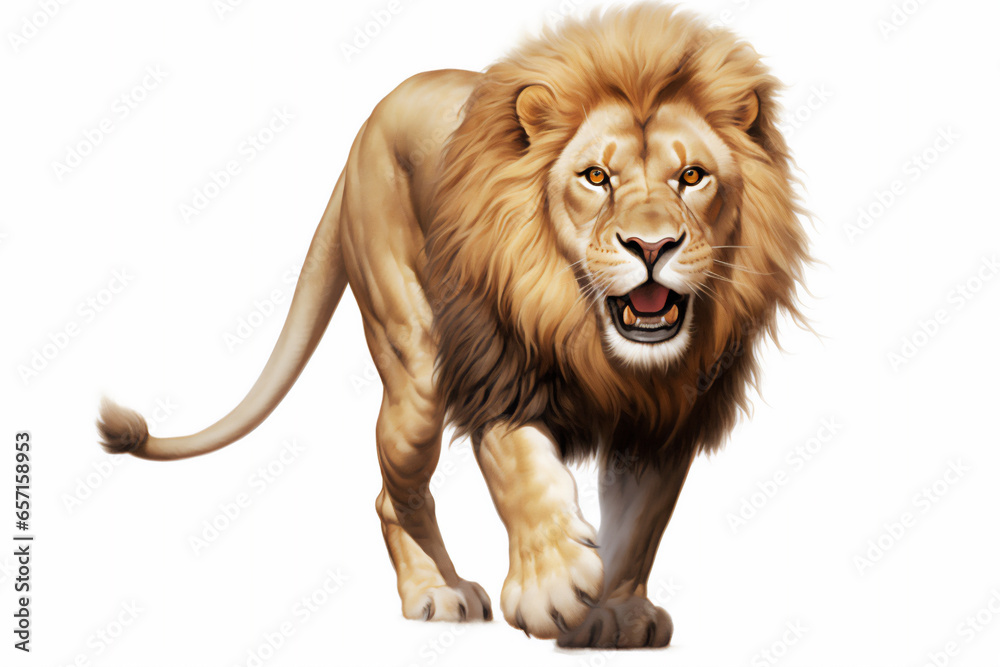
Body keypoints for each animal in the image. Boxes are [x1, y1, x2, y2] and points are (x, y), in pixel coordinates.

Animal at [97, 4, 809, 649]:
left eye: (691, 176)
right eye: (595, 177)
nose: (652, 245)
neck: (597, 344)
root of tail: (366, 128)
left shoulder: (666, 419)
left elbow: (639, 524)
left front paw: (620, 614)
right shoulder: (498, 373)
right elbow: (525, 475)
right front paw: (553, 587)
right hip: (412, 367)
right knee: (393, 492)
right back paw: (435, 592)